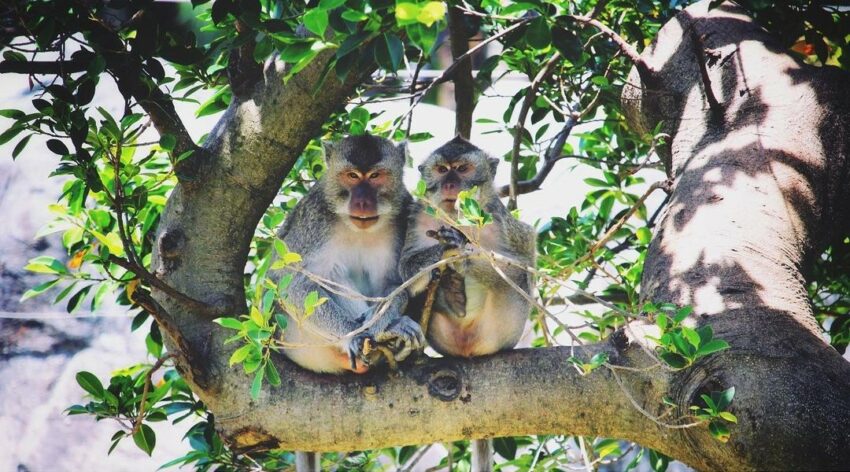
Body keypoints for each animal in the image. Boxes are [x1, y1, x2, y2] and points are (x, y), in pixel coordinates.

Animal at [274, 135, 424, 374]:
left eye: (375, 176)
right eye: (352, 176)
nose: (362, 202)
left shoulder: (405, 214)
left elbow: (396, 284)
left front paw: (380, 322)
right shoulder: (314, 221)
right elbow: (292, 284)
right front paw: (355, 335)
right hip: (295, 337)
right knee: (330, 275)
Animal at [400, 136, 532, 472]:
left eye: (462, 169)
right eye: (441, 169)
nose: (450, 183)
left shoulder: (502, 220)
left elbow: (523, 265)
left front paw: (462, 249)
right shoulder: (414, 216)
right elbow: (404, 270)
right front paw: (442, 252)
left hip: (505, 328)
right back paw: (451, 292)